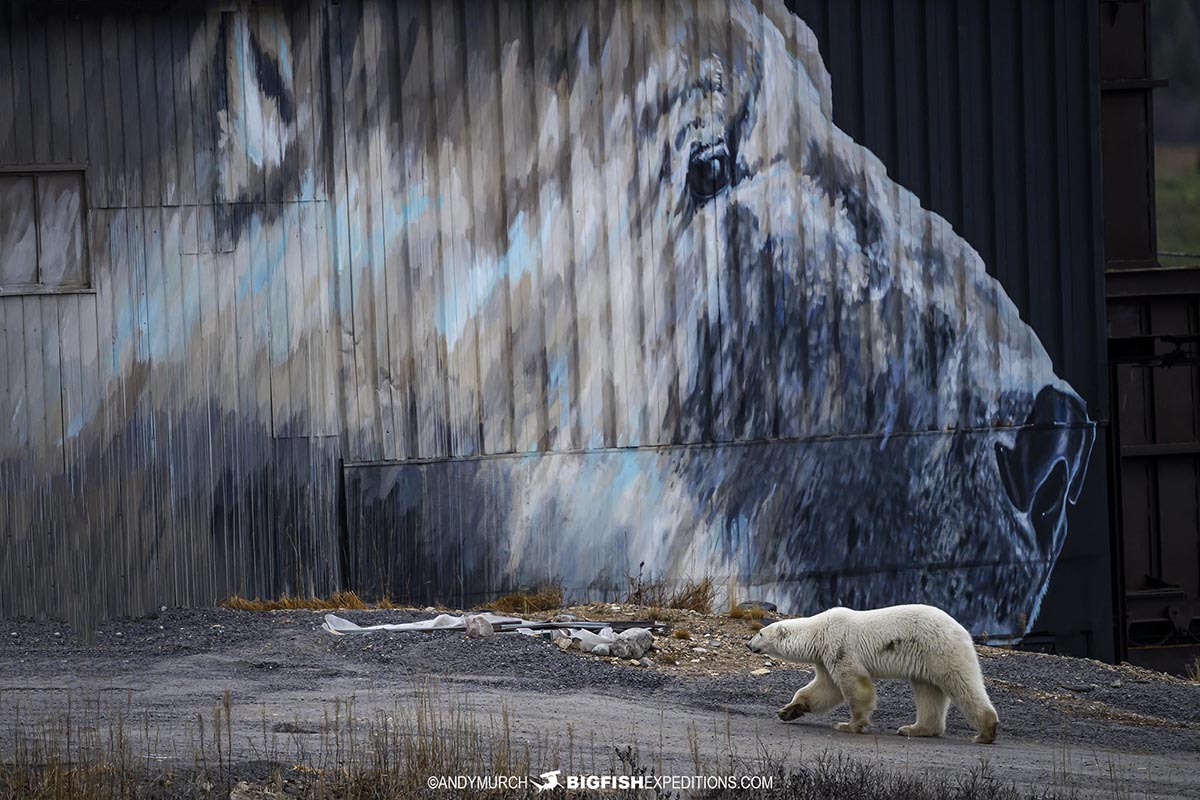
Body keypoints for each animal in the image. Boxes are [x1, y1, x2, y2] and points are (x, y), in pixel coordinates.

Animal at [747, 604, 998, 744]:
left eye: (760, 632)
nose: (749, 644)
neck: (818, 631)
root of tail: (962, 630)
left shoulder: (839, 646)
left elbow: (854, 684)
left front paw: (850, 725)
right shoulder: (825, 657)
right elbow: (825, 689)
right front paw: (788, 711)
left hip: (940, 649)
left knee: (961, 683)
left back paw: (986, 731)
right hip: (927, 659)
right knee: (928, 691)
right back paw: (915, 729)